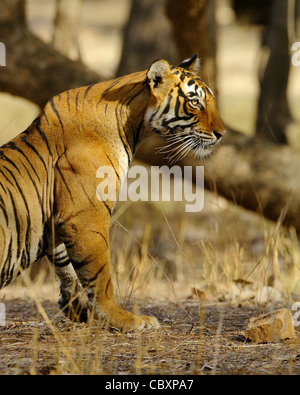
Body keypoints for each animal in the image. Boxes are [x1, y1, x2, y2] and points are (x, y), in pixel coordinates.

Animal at [0, 54, 225, 332]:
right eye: (195, 102)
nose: (222, 133)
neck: (133, 125)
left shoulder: (61, 218)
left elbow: (65, 262)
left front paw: (76, 305)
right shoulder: (85, 216)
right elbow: (100, 274)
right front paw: (123, 319)